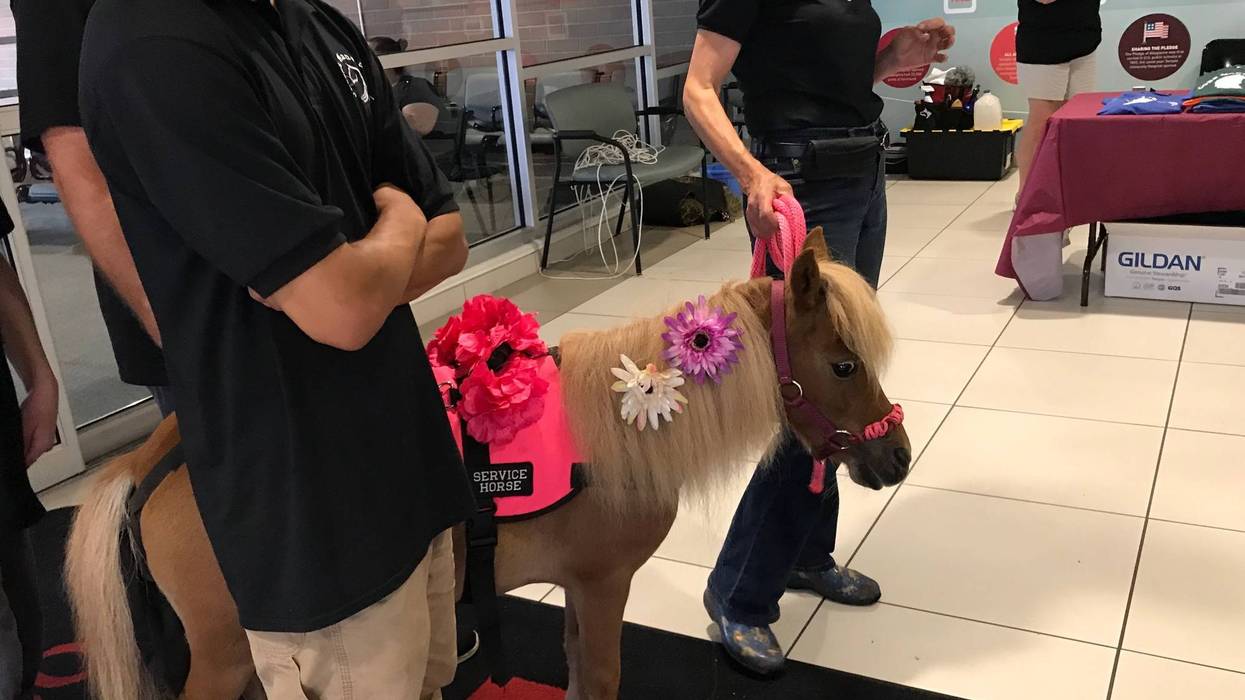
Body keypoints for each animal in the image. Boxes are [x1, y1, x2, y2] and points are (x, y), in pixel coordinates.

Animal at [64, 230, 912, 700]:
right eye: (842, 364)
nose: (896, 457)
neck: (625, 421)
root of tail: (158, 461)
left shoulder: (577, 589)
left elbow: (576, 670)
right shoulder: (603, 584)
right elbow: (601, 678)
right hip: (224, 652)